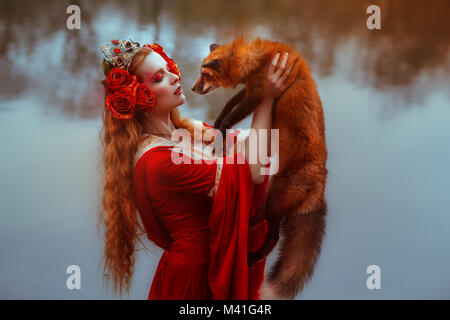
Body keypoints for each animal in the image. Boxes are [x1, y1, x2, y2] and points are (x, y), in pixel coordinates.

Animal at [192, 37, 328, 300]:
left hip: (277, 199)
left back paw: (252, 256)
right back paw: (251, 221)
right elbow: (225, 109)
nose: (193, 89)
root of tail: (321, 179)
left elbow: (229, 116)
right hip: (274, 192)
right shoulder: (248, 91)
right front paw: (216, 132)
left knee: (274, 237)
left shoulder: (257, 93)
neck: (257, 59)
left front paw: (220, 136)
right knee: (264, 216)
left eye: (204, 75)